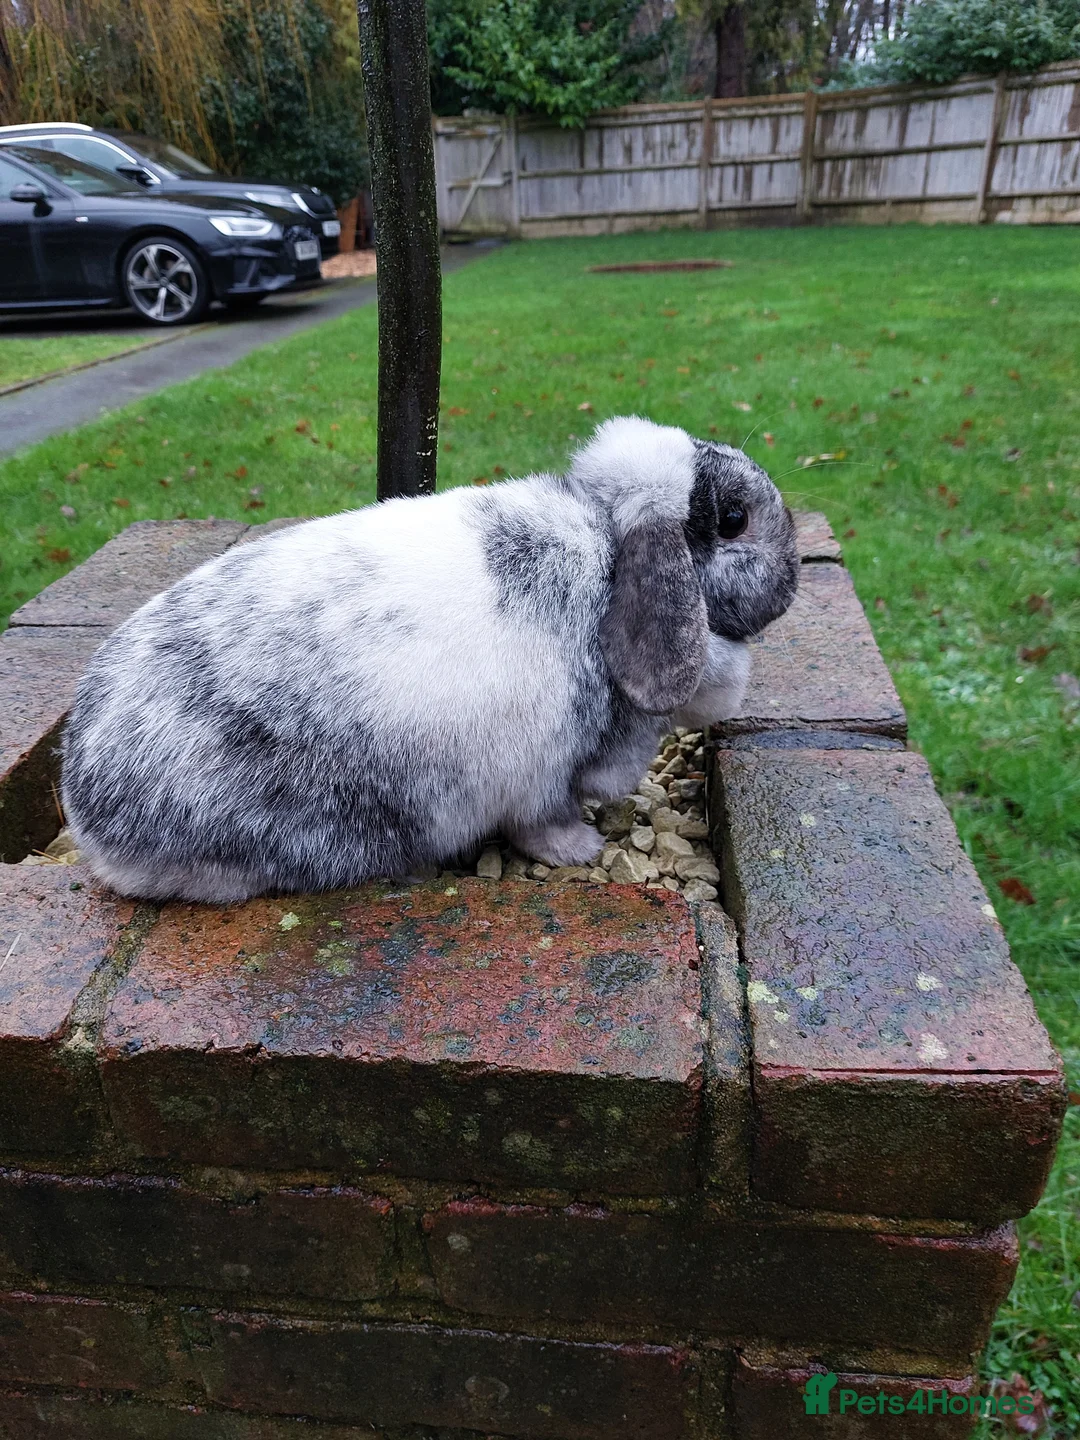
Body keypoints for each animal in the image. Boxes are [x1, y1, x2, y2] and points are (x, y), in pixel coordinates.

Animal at [61, 416, 799, 902]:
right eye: (734, 519)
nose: (793, 579)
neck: (610, 557)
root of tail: (89, 818)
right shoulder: (542, 771)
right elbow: (543, 823)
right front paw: (580, 850)